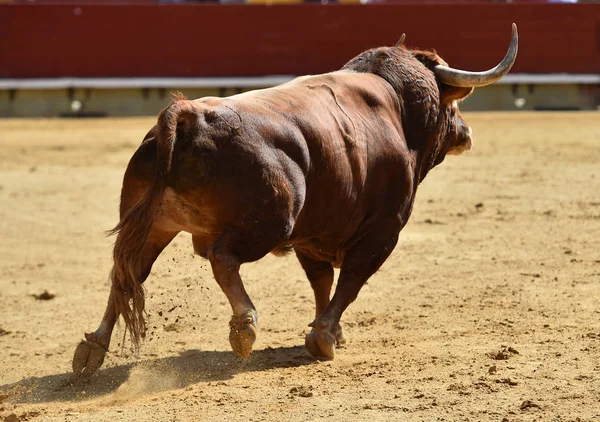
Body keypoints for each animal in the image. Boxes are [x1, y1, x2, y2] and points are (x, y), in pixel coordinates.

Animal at [74, 24, 516, 374]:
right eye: (453, 102)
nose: (466, 132)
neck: (397, 105)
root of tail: (185, 115)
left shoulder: (312, 234)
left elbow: (322, 282)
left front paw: (332, 332)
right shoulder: (383, 229)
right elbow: (352, 280)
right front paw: (324, 337)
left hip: (153, 224)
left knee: (128, 273)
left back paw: (92, 348)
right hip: (270, 223)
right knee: (221, 258)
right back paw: (245, 328)